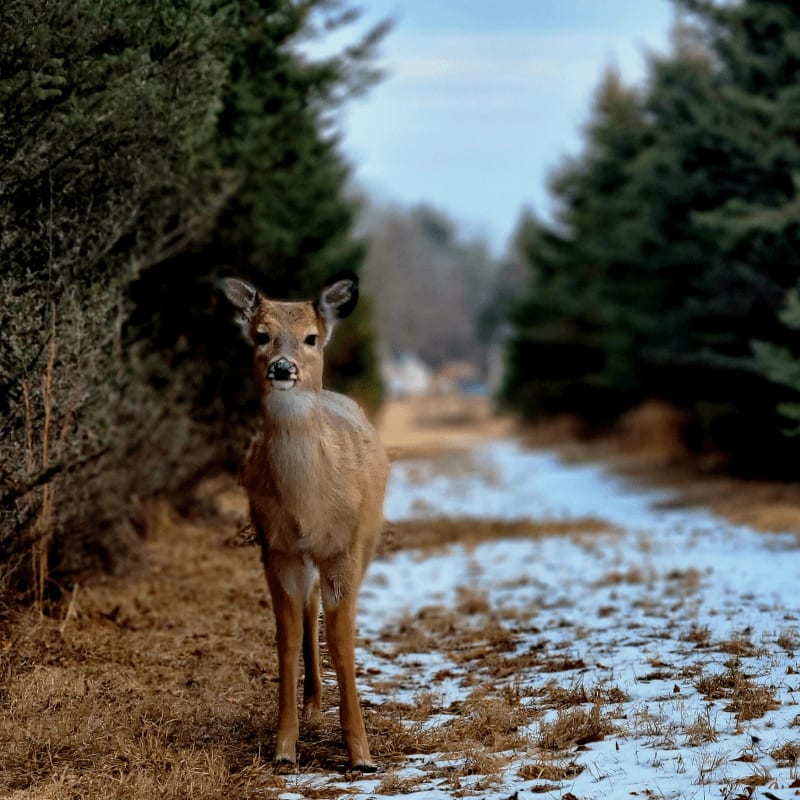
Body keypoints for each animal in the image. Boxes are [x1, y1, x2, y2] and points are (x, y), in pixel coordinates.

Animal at [220, 272, 388, 772]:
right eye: (261, 335)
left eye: (311, 338)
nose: (281, 368)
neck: (306, 507)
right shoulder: (275, 549)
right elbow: (288, 637)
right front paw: (283, 748)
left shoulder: (344, 549)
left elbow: (343, 640)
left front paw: (361, 754)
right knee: (309, 608)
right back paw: (312, 704)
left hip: (367, 540)